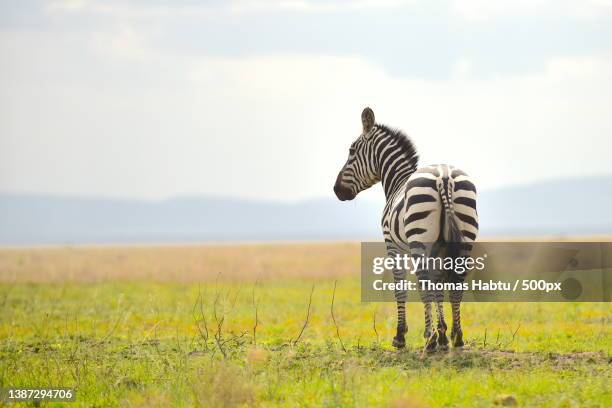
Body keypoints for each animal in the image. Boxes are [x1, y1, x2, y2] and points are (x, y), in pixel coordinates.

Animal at [332, 107, 480, 350]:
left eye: (351, 151)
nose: (336, 190)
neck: (397, 182)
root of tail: (444, 176)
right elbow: (438, 285)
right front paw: (443, 333)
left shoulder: (392, 245)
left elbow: (401, 286)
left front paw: (402, 335)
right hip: (465, 235)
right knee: (456, 283)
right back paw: (457, 337)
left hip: (419, 237)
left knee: (423, 281)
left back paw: (429, 339)